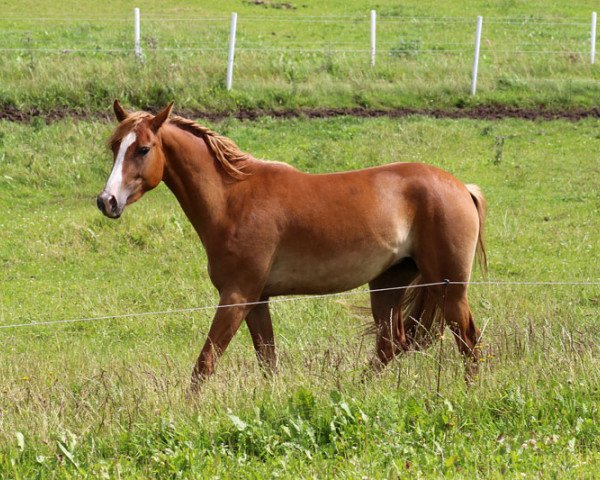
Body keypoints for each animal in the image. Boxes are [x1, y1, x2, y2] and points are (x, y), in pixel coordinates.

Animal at [97, 101, 488, 390]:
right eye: (115, 146)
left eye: (143, 149)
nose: (107, 201)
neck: (233, 200)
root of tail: (462, 187)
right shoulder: (256, 300)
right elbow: (267, 362)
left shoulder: (236, 297)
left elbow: (204, 365)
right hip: (387, 284)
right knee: (391, 344)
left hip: (449, 288)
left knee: (468, 341)